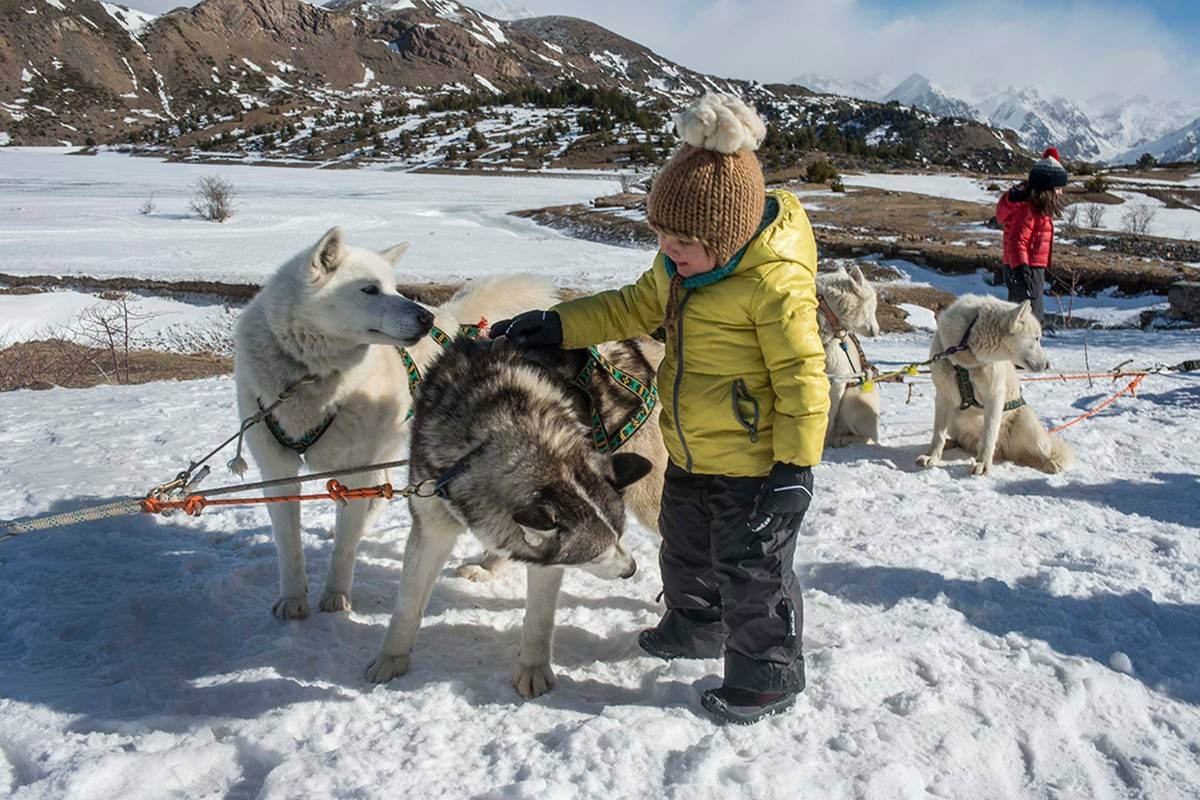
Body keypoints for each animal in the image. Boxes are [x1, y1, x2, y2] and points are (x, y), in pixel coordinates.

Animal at [236, 226, 559, 618]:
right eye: (370, 289)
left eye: (394, 285)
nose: (424, 319)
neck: (309, 377)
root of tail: (450, 319)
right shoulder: (277, 470)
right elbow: (288, 545)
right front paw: (293, 599)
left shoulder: (355, 470)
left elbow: (345, 547)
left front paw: (336, 596)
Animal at [816, 266, 883, 448]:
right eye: (873, 306)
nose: (878, 330)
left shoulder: (838, 379)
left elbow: (828, 416)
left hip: (852, 401)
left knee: (867, 439)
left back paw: (840, 439)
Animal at [912, 297, 1075, 479]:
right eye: (1036, 339)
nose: (1048, 365)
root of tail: (1003, 450)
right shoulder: (943, 396)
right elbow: (938, 434)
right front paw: (932, 456)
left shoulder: (994, 395)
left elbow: (989, 435)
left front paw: (982, 464)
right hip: (955, 417)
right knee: (960, 441)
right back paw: (949, 444)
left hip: (1029, 428)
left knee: (1047, 452)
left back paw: (1051, 463)